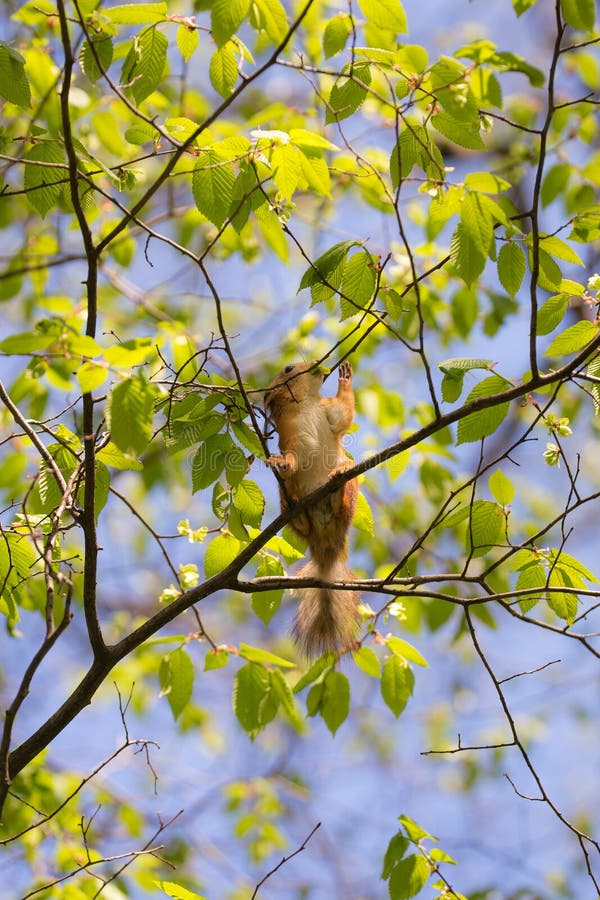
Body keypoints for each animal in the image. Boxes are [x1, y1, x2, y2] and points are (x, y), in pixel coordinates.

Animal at [264, 360, 359, 657]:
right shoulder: (290, 438)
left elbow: (343, 414)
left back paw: (339, 481)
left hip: (351, 491)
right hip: (290, 495)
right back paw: (294, 508)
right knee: (300, 518)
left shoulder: (329, 411)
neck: (306, 404)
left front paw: (345, 377)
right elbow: (292, 458)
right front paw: (281, 462)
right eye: (288, 368)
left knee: (342, 502)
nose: (316, 364)